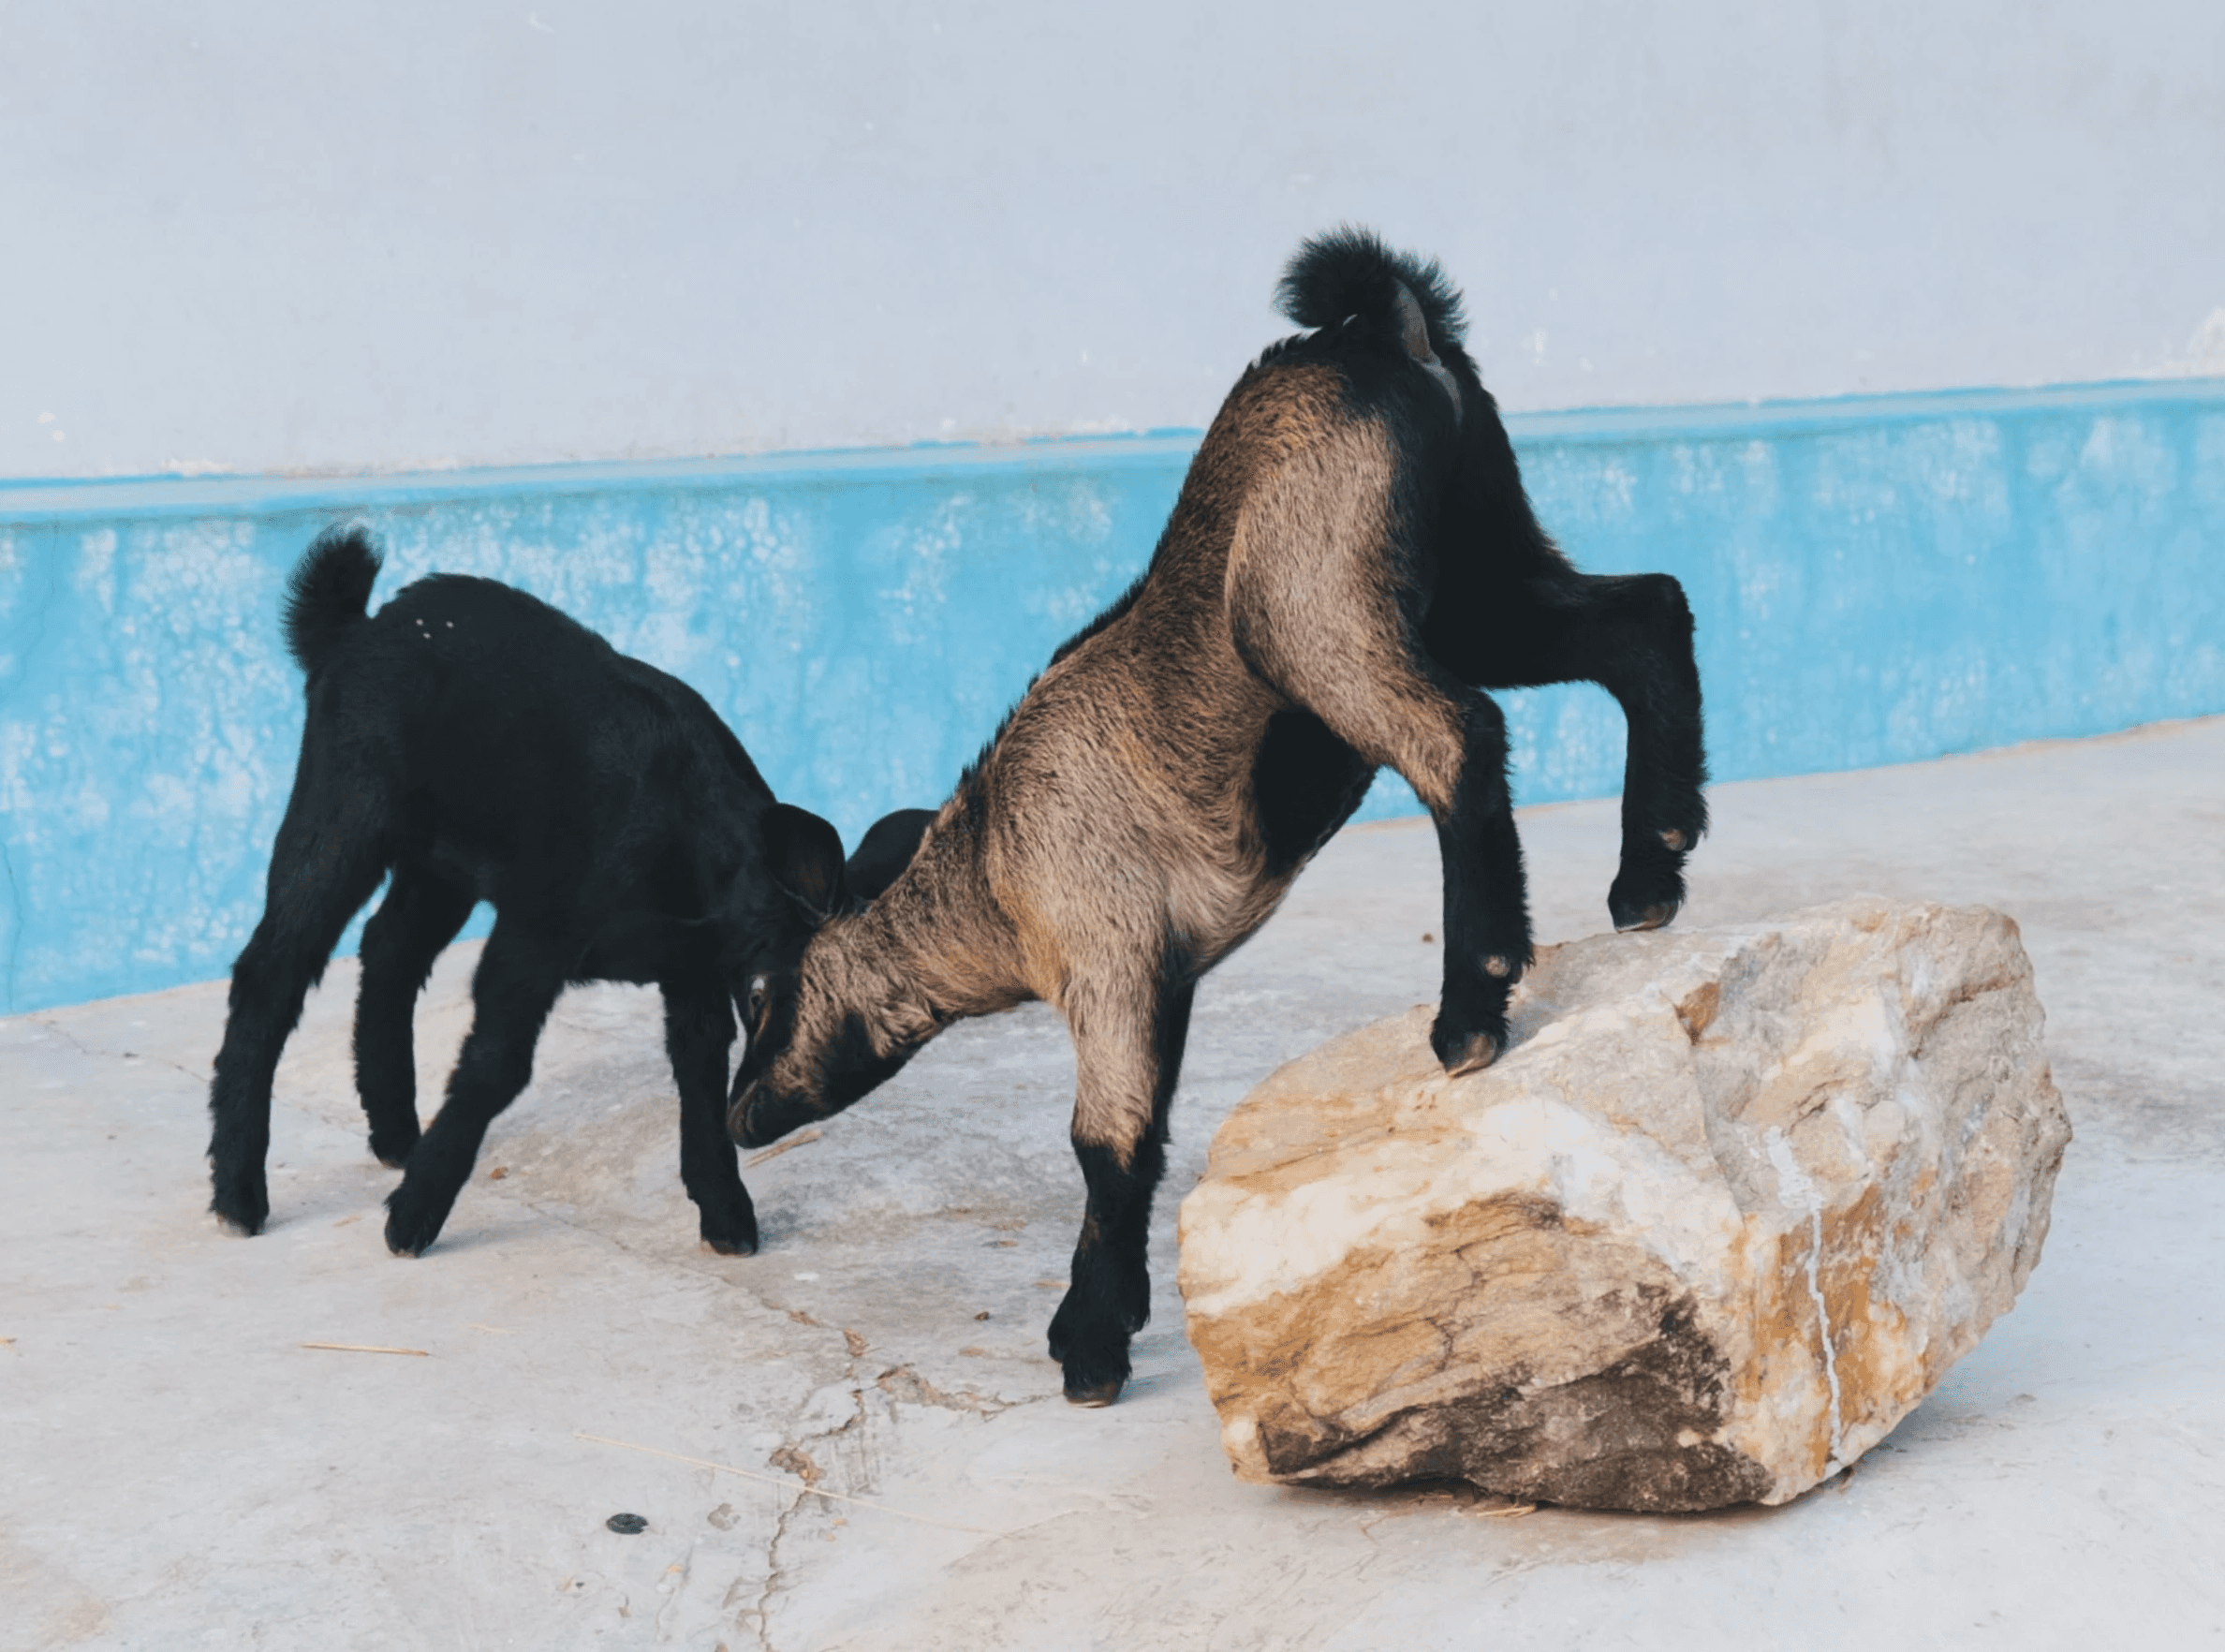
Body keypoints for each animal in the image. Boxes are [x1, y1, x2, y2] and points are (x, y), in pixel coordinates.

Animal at [206, 525, 853, 1257]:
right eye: (769, 993)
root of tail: (355, 628)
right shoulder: (535, 936)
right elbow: (498, 1066)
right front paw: (413, 1216)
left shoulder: (694, 969)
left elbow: (700, 1069)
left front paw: (726, 1211)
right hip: (342, 815)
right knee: (272, 972)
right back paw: (240, 1193)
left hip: (441, 863)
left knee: (390, 950)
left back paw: (395, 1129)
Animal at [729, 229, 1708, 1405]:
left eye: (760, 993)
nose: (737, 1117)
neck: (993, 870)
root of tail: (1384, 328)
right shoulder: (1165, 975)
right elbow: (1146, 1135)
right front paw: (1106, 1317)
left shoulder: (1104, 955)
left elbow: (1105, 1143)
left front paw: (1090, 1344)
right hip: (1475, 559)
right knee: (1642, 614)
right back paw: (1651, 870)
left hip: (1310, 599)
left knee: (1459, 734)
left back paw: (1473, 1007)